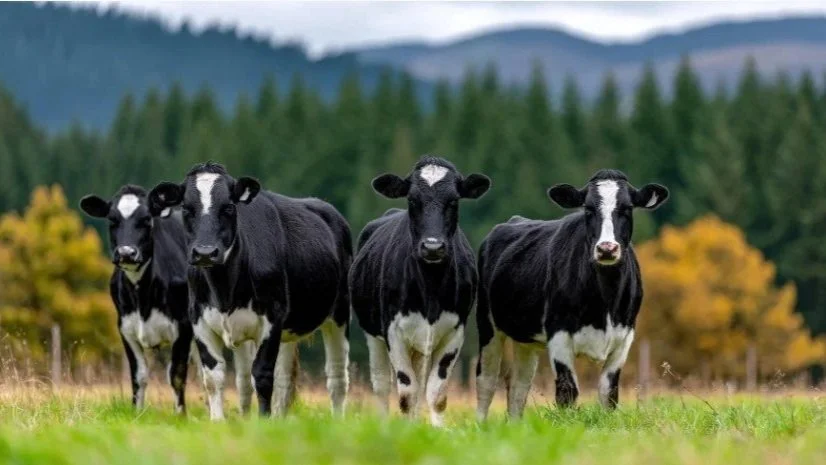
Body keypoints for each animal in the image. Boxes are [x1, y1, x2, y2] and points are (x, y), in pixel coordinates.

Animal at [80, 185, 193, 414]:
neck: (143, 299)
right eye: (112, 220)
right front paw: (137, 414)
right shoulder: (126, 329)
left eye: (146, 219)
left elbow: (176, 376)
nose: (126, 252)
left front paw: (181, 416)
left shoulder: (183, 326)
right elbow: (138, 377)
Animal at [148, 162, 351, 420]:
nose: (205, 253)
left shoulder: (271, 319)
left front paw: (263, 421)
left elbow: (262, 376)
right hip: (286, 330)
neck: (223, 290)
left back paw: (338, 419)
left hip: (339, 314)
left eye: (228, 207)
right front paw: (218, 422)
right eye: (186, 208)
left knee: (337, 376)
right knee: (283, 380)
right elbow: (213, 378)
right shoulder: (199, 320)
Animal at [350, 156, 490, 426]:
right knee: (382, 384)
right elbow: (407, 392)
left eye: (453, 200)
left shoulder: (454, 331)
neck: (430, 286)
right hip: (372, 333)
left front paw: (436, 430)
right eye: (412, 200)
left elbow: (436, 393)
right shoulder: (393, 331)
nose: (432, 247)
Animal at [475, 169, 668, 420]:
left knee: (519, 384)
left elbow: (609, 393)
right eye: (588, 209)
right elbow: (567, 392)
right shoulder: (559, 334)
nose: (607, 248)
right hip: (487, 323)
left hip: (525, 339)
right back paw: (480, 424)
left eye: (627, 208)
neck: (606, 300)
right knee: (486, 380)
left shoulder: (624, 337)